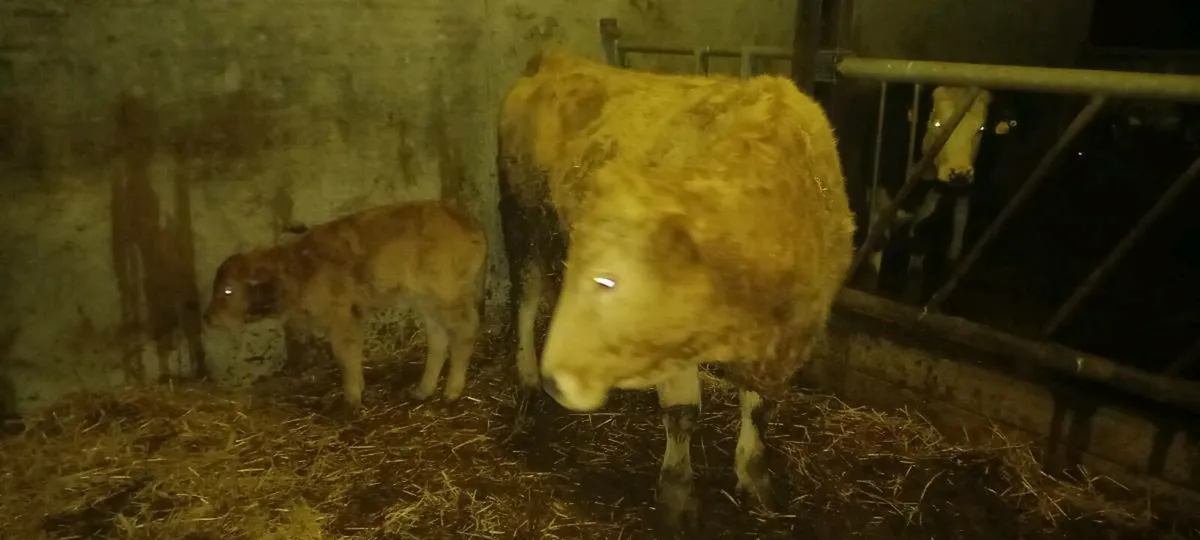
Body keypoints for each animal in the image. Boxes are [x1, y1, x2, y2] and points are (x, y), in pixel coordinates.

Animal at [203, 200, 488, 410]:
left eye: (228, 290)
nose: (208, 318)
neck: (299, 269)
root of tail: (470, 227)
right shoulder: (353, 316)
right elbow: (352, 354)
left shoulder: (341, 318)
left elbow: (344, 356)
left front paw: (351, 398)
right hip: (427, 301)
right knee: (438, 338)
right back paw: (422, 390)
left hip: (447, 296)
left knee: (464, 331)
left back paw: (452, 391)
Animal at [497, 48, 855, 530]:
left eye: (608, 280)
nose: (560, 380)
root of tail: (558, 58)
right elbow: (683, 414)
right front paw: (677, 496)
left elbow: (759, 409)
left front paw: (755, 477)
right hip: (520, 217)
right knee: (525, 299)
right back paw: (528, 388)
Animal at [860, 85, 1019, 303]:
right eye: (937, 124)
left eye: (981, 129)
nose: (960, 173)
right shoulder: (877, 194)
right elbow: (877, 244)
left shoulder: (933, 197)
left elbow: (919, 245)